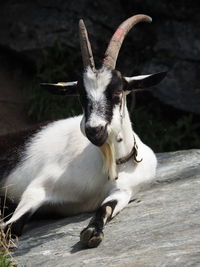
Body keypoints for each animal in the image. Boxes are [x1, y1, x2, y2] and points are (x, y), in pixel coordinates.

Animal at [0, 14, 166, 249]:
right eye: (80, 96)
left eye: (117, 92)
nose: (94, 130)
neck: (110, 163)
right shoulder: (38, 186)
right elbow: (10, 226)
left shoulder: (124, 191)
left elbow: (105, 208)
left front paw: (92, 232)